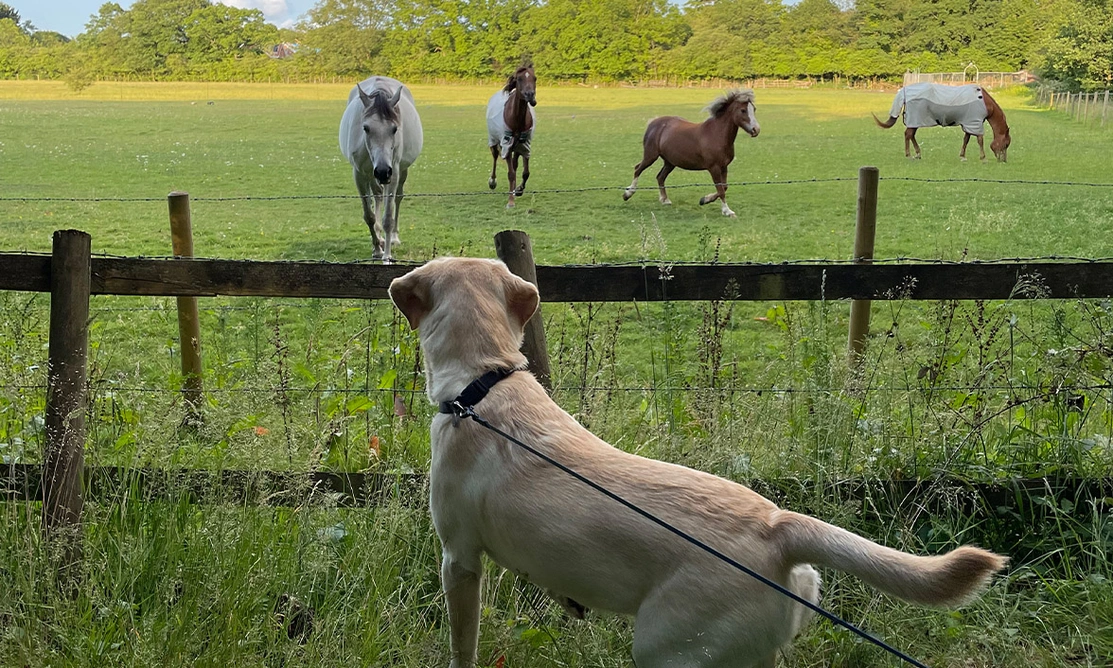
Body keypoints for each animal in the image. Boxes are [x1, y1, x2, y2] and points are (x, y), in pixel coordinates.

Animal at [339, 76, 423, 261]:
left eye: (395, 128)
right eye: (366, 128)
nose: (383, 171)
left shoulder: (395, 172)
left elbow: (388, 217)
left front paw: (387, 256)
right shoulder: (360, 174)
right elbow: (369, 216)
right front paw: (377, 249)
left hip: (399, 172)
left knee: (397, 199)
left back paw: (394, 238)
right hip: (372, 175)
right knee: (377, 196)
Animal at [487, 65, 537, 208]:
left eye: (535, 78)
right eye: (519, 79)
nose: (530, 95)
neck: (517, 119)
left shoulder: (524, 146)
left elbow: (525, 172)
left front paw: (518, 190)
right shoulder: (506, 146)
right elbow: (510, 174)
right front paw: (510, 202)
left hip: (516, 147)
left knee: (515, 164)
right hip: (494, 140)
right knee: (495, 156)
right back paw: (492, 182)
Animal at [622, 89, 760, 218]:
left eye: (754, 109)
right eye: (743, 110)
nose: (756, 130)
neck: (716, 134)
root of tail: (653, 123)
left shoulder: (724, 166)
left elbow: (724, 187)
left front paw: (704, 200)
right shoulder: (714, 168)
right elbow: (721, 190)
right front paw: (727, 211)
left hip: (670, 162)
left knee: (660, 177)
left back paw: (665, 200)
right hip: (651, 156)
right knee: (638, 169)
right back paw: (627, 193)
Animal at [873, 83, 1011, 162]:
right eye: (1006, 144)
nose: (1003, 160)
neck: (984, 102)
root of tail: (905, 91)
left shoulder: (969, 123)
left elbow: (966, 140)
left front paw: (962, 156)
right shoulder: (974, 123)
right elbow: (980, 140)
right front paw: (983, 158)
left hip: (915, 121)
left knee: (910, 135)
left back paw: (917, 154)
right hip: (915, 119)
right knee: (908, 135)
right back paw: (910, 155)